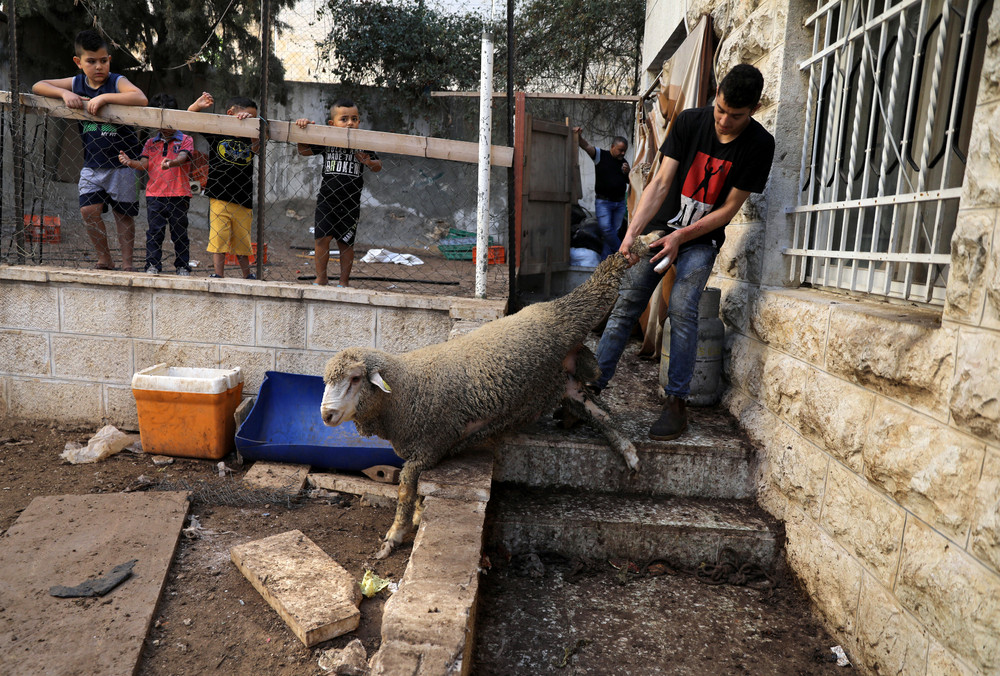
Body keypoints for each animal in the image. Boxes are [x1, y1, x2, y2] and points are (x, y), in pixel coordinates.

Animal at [322, 230, 664, 556]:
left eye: (355, 378)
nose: (326, 414)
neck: (406, 389)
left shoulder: (429, 447)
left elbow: (406, 487)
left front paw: (395, 535)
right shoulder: (435, 447)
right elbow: (415, 490)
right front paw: (416, 517)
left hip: (577, 313)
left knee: (605, 279)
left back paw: (642, 243)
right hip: (565, 385)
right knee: (601, 415)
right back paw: (629, 452)